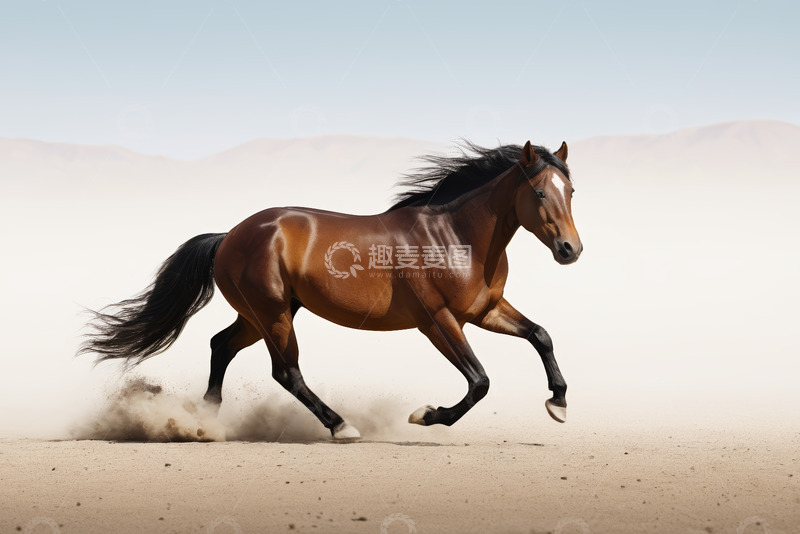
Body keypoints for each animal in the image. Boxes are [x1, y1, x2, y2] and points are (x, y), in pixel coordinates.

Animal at [81, 140, 582, 439]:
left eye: (572, 191)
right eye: (540, 193)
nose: (570, 249)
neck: (455, 236)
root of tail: (229, 235)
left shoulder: (485, 310)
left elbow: (540, 335)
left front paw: (558, 403)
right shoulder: (438, 320)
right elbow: (479, 381)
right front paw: (426, 415)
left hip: (262, 315)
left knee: (221, 345)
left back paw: (204, 420)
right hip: (274, 315)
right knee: (286, 372)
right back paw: (341, 426)